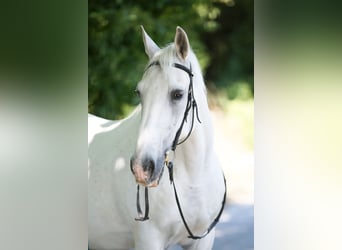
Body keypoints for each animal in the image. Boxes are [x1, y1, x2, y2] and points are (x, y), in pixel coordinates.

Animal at [89, 26, 226, 249]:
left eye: (178, 94)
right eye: (139, 92)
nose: (141, 167)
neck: (192, 180)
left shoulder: (203, 239)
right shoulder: (149, 240)